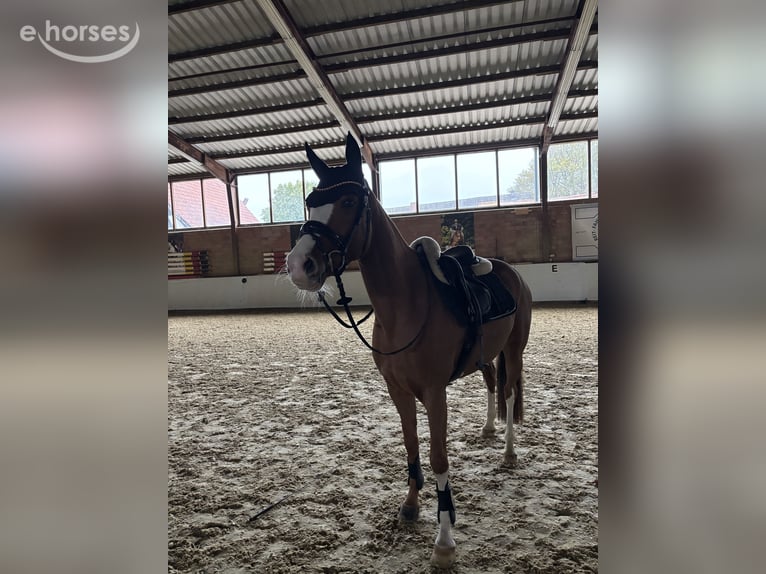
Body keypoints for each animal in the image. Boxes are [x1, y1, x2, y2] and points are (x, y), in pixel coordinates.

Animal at [285, 133, 532, 567]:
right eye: (311, 200)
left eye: (348, 201)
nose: (300, 265)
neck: (407, 303)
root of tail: (509, 271)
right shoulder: (397, 391)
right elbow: (411, 447)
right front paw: (411, 506)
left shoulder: (434, 394)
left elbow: (437, 459)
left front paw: (444, 540)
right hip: (487, 355)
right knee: (491, 383)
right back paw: (488, 428)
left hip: (514, 351)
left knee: (509, 390)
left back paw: (507, 452)